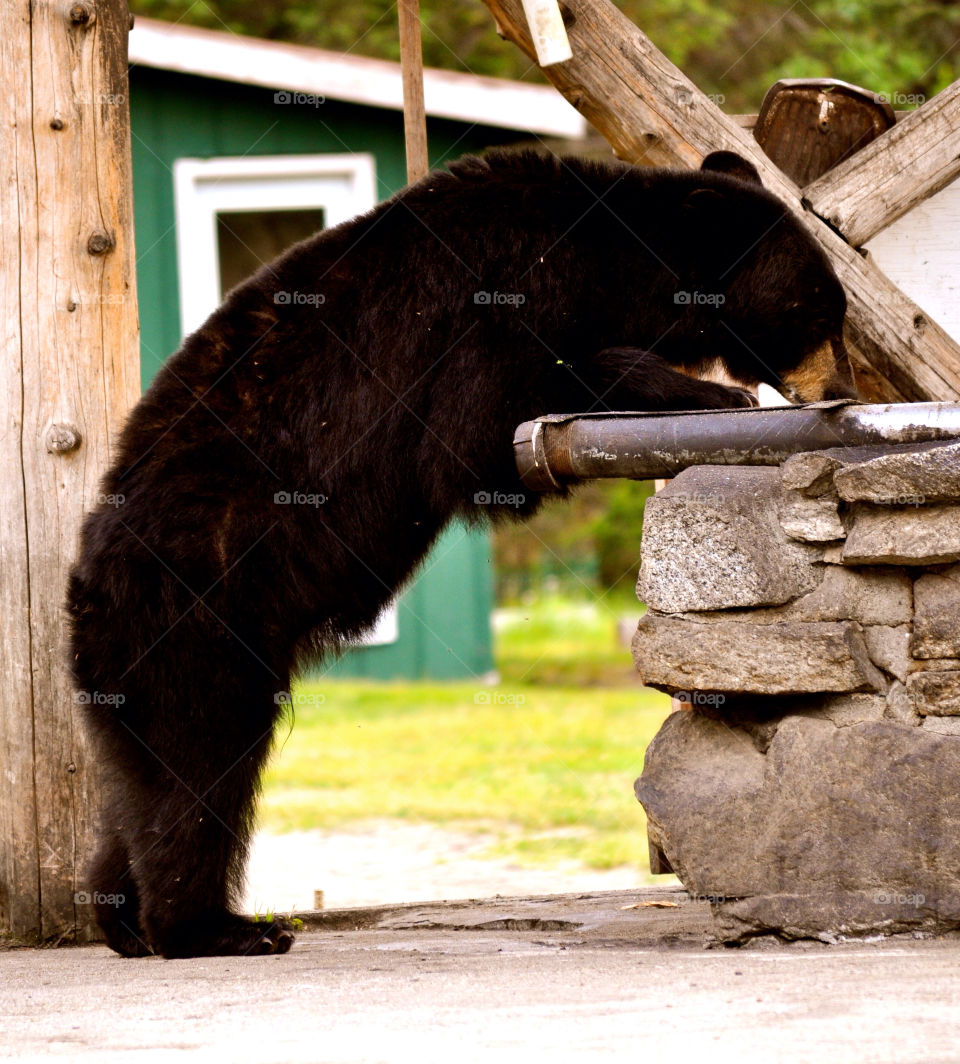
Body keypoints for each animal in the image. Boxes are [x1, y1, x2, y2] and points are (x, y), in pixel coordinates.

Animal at [69, 147, 855, 957]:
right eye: (820, 311)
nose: (842, 384)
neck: (600, 259)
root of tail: (87, 577)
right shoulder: (484, 314)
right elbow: (493, 419)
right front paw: (700, 394)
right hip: (202, 608)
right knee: (201, 758)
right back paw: (218, 929)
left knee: (147, 777)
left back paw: (123, 918)